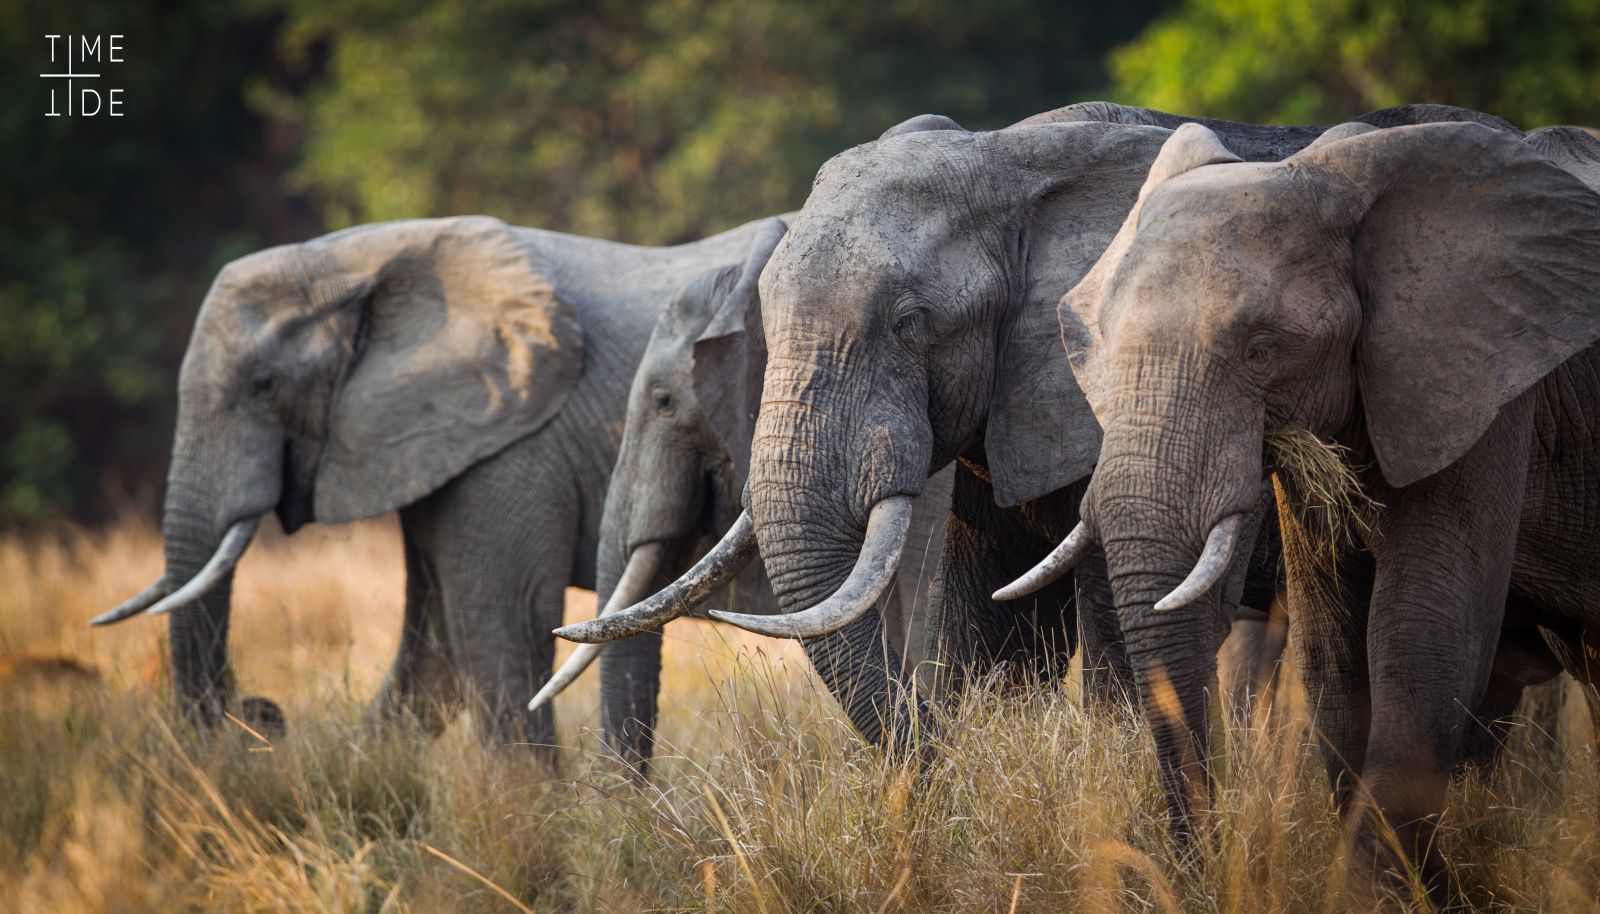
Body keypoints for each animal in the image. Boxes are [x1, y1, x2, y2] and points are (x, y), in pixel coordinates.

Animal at [92, 214, 790, 751]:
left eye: (264, 387)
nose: (263, 715)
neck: (355, 260)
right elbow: (438, 647)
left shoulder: (511, 444)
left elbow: (498, 621)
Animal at [1026, 119, 1600, 897]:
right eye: (1098, 347)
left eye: (1264, 349)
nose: (1196, 872)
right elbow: (1332, 649)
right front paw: (1417, 889)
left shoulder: (1488, 389)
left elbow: (1421, 631)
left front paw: (1375, 896)